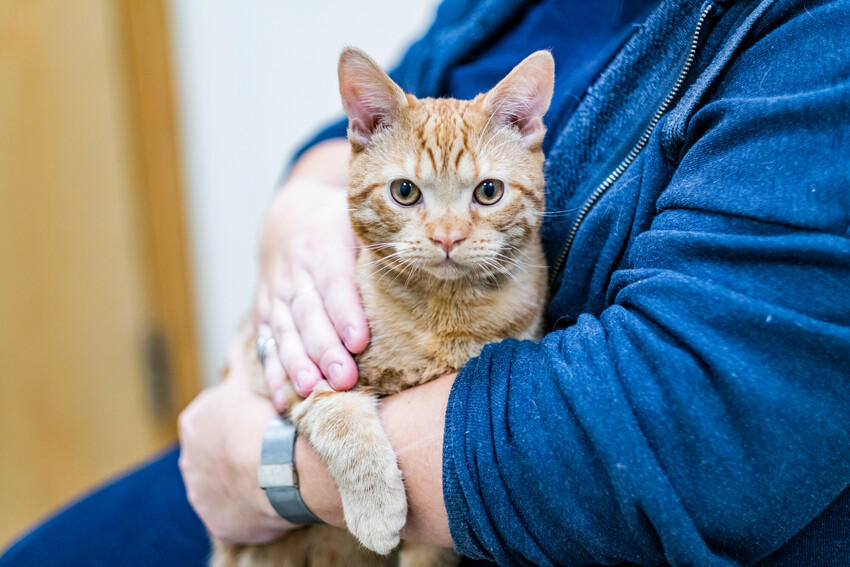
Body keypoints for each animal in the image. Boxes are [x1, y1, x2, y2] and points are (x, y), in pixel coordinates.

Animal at [214, 47, 548, 567]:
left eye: (489, 191)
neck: (444, 312)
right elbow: (341, 420)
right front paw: (375, 508)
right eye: (405, 192)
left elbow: (429, 552)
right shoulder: (299, 371)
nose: (447, 237)